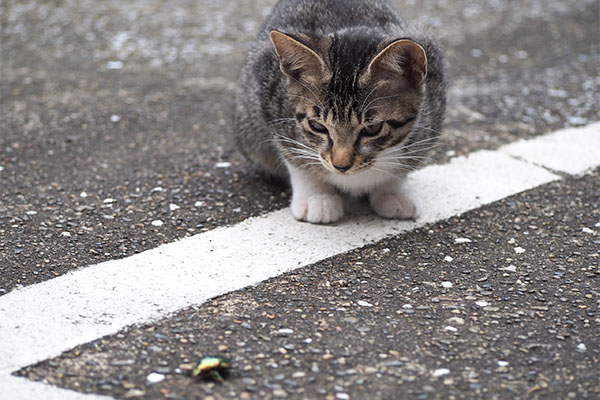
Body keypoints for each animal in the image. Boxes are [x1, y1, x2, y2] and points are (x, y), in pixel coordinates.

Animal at [234, 0, 446, 225]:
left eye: (372, 128)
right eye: (317, 126)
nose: (341, 166)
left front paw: (393, 190)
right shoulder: (271, 97)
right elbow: (294, 155)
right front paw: (316, 196)